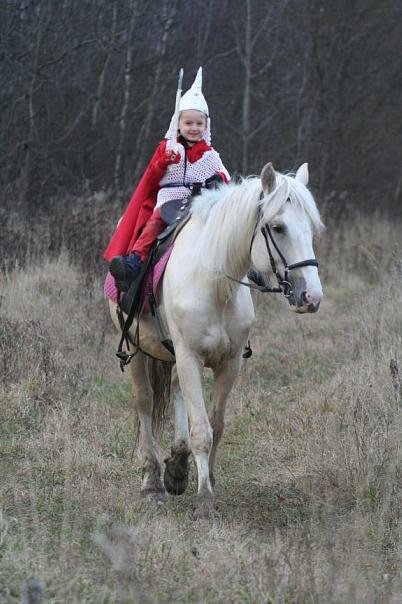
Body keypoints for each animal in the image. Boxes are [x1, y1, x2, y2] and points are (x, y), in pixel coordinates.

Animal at [108, 162, 324, 519]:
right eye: (277, 227)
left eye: (310, 229)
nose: (312, 297)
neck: (215, 283)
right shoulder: (189, 357)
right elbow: (201, 431)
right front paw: (204, 502)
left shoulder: (230, 363)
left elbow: (216, 425)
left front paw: (205, 479)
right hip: (136, 350)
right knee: (145, 403)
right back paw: (152, 482)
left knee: (176, 390)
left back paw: (177, 469)